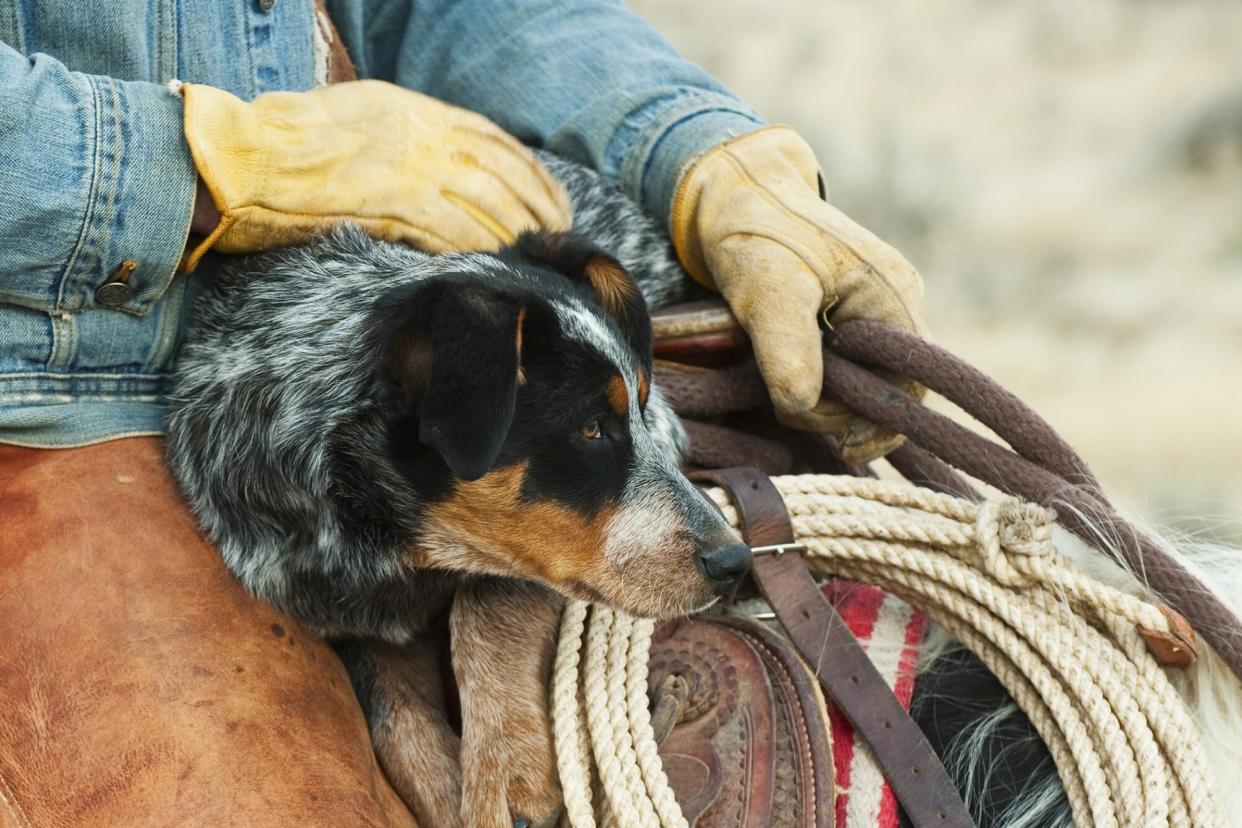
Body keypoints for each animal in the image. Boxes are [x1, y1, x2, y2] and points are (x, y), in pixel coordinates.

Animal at [163, 152, 745, 824]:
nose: (736, 561)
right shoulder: (332, 608)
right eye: (591, 428)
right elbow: (392, 712)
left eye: (641, 408)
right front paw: (453, 786)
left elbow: (486, 601)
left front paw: (507, 770)